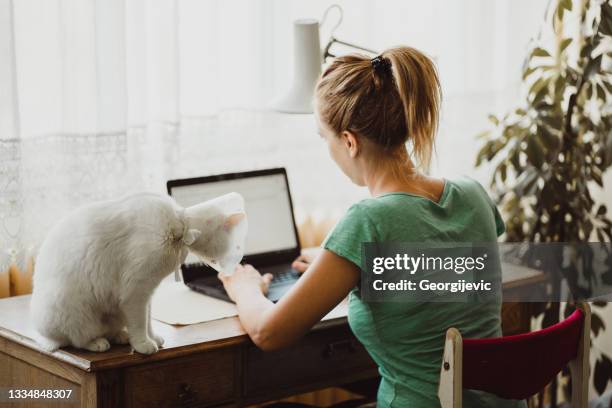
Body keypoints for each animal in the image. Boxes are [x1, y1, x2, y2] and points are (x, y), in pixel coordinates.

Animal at [30, 191, 246, 354]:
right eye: (236, 246)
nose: (239, 258)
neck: (179, 225)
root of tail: (42, 335)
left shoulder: (147, 293)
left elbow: (147, 320)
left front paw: (152, 339)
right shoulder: (136, 292)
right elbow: (140, 323)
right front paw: (143, 344)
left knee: (106, 330)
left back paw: (121, 336)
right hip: (76, 312)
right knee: (77, 340)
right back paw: (98, 342)